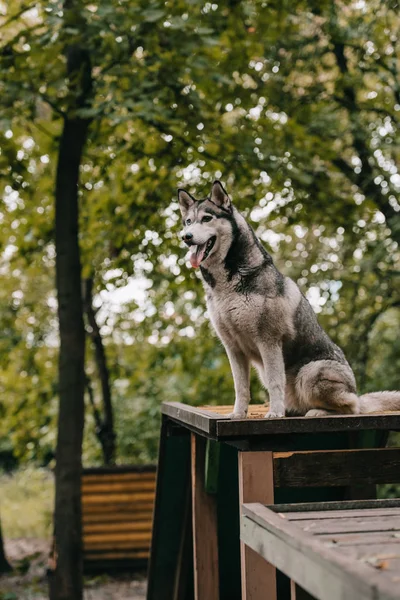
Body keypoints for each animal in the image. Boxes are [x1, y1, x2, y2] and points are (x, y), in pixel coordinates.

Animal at [179, 180, 400, 420]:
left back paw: (317, 411)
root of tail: (355, 390)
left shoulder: (269, 341)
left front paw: (275, 413)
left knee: (352, 406)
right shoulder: (233, 347)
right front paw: (238, 413)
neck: (227, 285)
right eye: (188, 221)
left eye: (206, 218)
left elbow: (276, 382)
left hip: (310, 372)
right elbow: (241, 387)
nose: (186, 236)